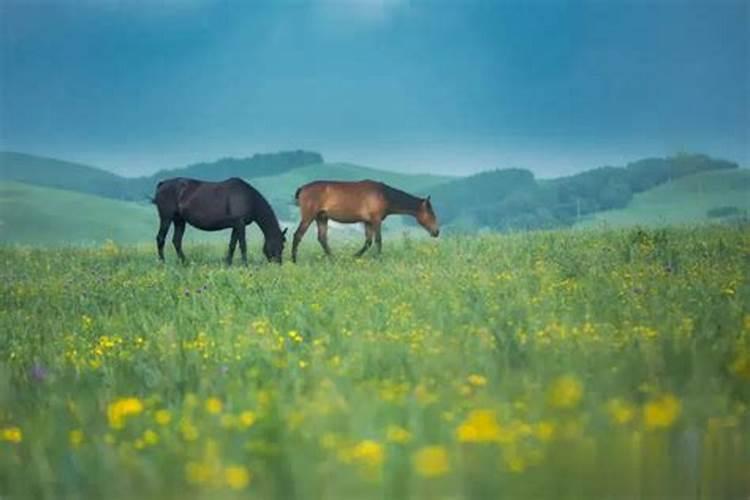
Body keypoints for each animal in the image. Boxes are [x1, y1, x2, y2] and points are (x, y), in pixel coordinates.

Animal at [153, 179, 288, 266]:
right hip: (166, 218)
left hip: (179, 221)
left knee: (176, 241)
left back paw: (185, 262)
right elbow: (243, 245)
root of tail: (162, 184)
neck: (249, 198)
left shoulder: (236, 225)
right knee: (160, 238)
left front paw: (228, 263)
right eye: (281, 245)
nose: (278, 264)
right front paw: (245, 264)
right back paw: (162, 263)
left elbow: (232, 245)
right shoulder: (240, 224)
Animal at [290, 182, 438, 264]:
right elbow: (378, 240)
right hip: (309, 217)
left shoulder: (367, 222)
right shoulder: (376, 220)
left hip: (322, 218)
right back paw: (294, 261)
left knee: (322, 239)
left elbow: (368, 242)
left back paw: (334, 259)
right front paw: (379, 259)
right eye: (431, 214)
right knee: (298, 235)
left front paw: (355, 256)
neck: (384, 194)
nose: (436, 232)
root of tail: (303, 188)